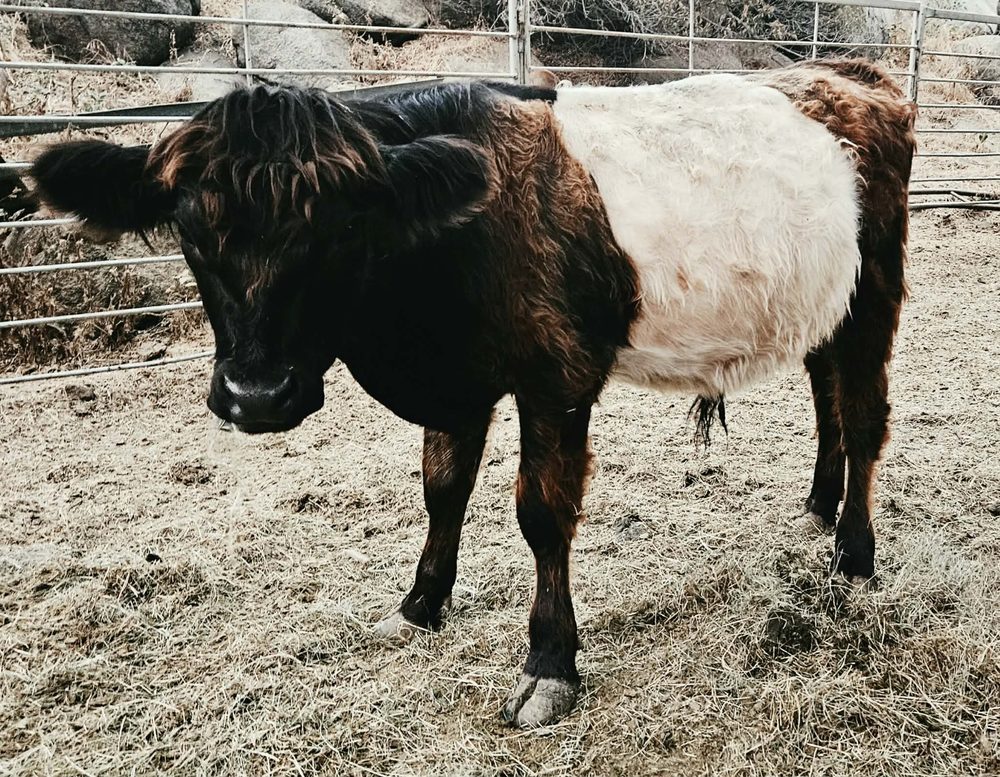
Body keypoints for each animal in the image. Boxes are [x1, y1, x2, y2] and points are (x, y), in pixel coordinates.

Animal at [30, 59, 916, 728]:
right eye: (188, 227)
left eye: (341, 227)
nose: (259, 394)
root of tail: (847, 74)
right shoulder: (458, 385)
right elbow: (442, 489)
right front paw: (420, 602)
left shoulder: (556, 377)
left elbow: (541, 515)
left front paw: (549, 661)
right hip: (822, 302)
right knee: (827, 400)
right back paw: (818, 504)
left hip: (875, 291)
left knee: (864, 414)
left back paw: (854, 550)